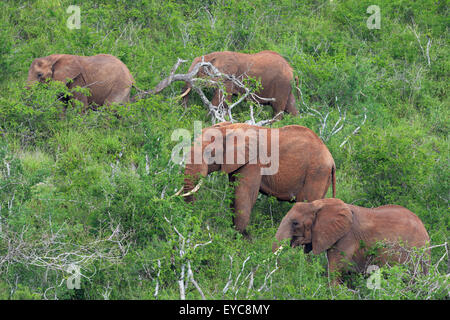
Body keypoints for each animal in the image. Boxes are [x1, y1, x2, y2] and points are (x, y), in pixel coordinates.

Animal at [183, 121, 334, 234]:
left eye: (209, 152)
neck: (229, 128)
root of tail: (331, 159)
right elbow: (234, 193)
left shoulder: (254, 162)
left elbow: (244, 194)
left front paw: (239, 241)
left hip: (316, 173)